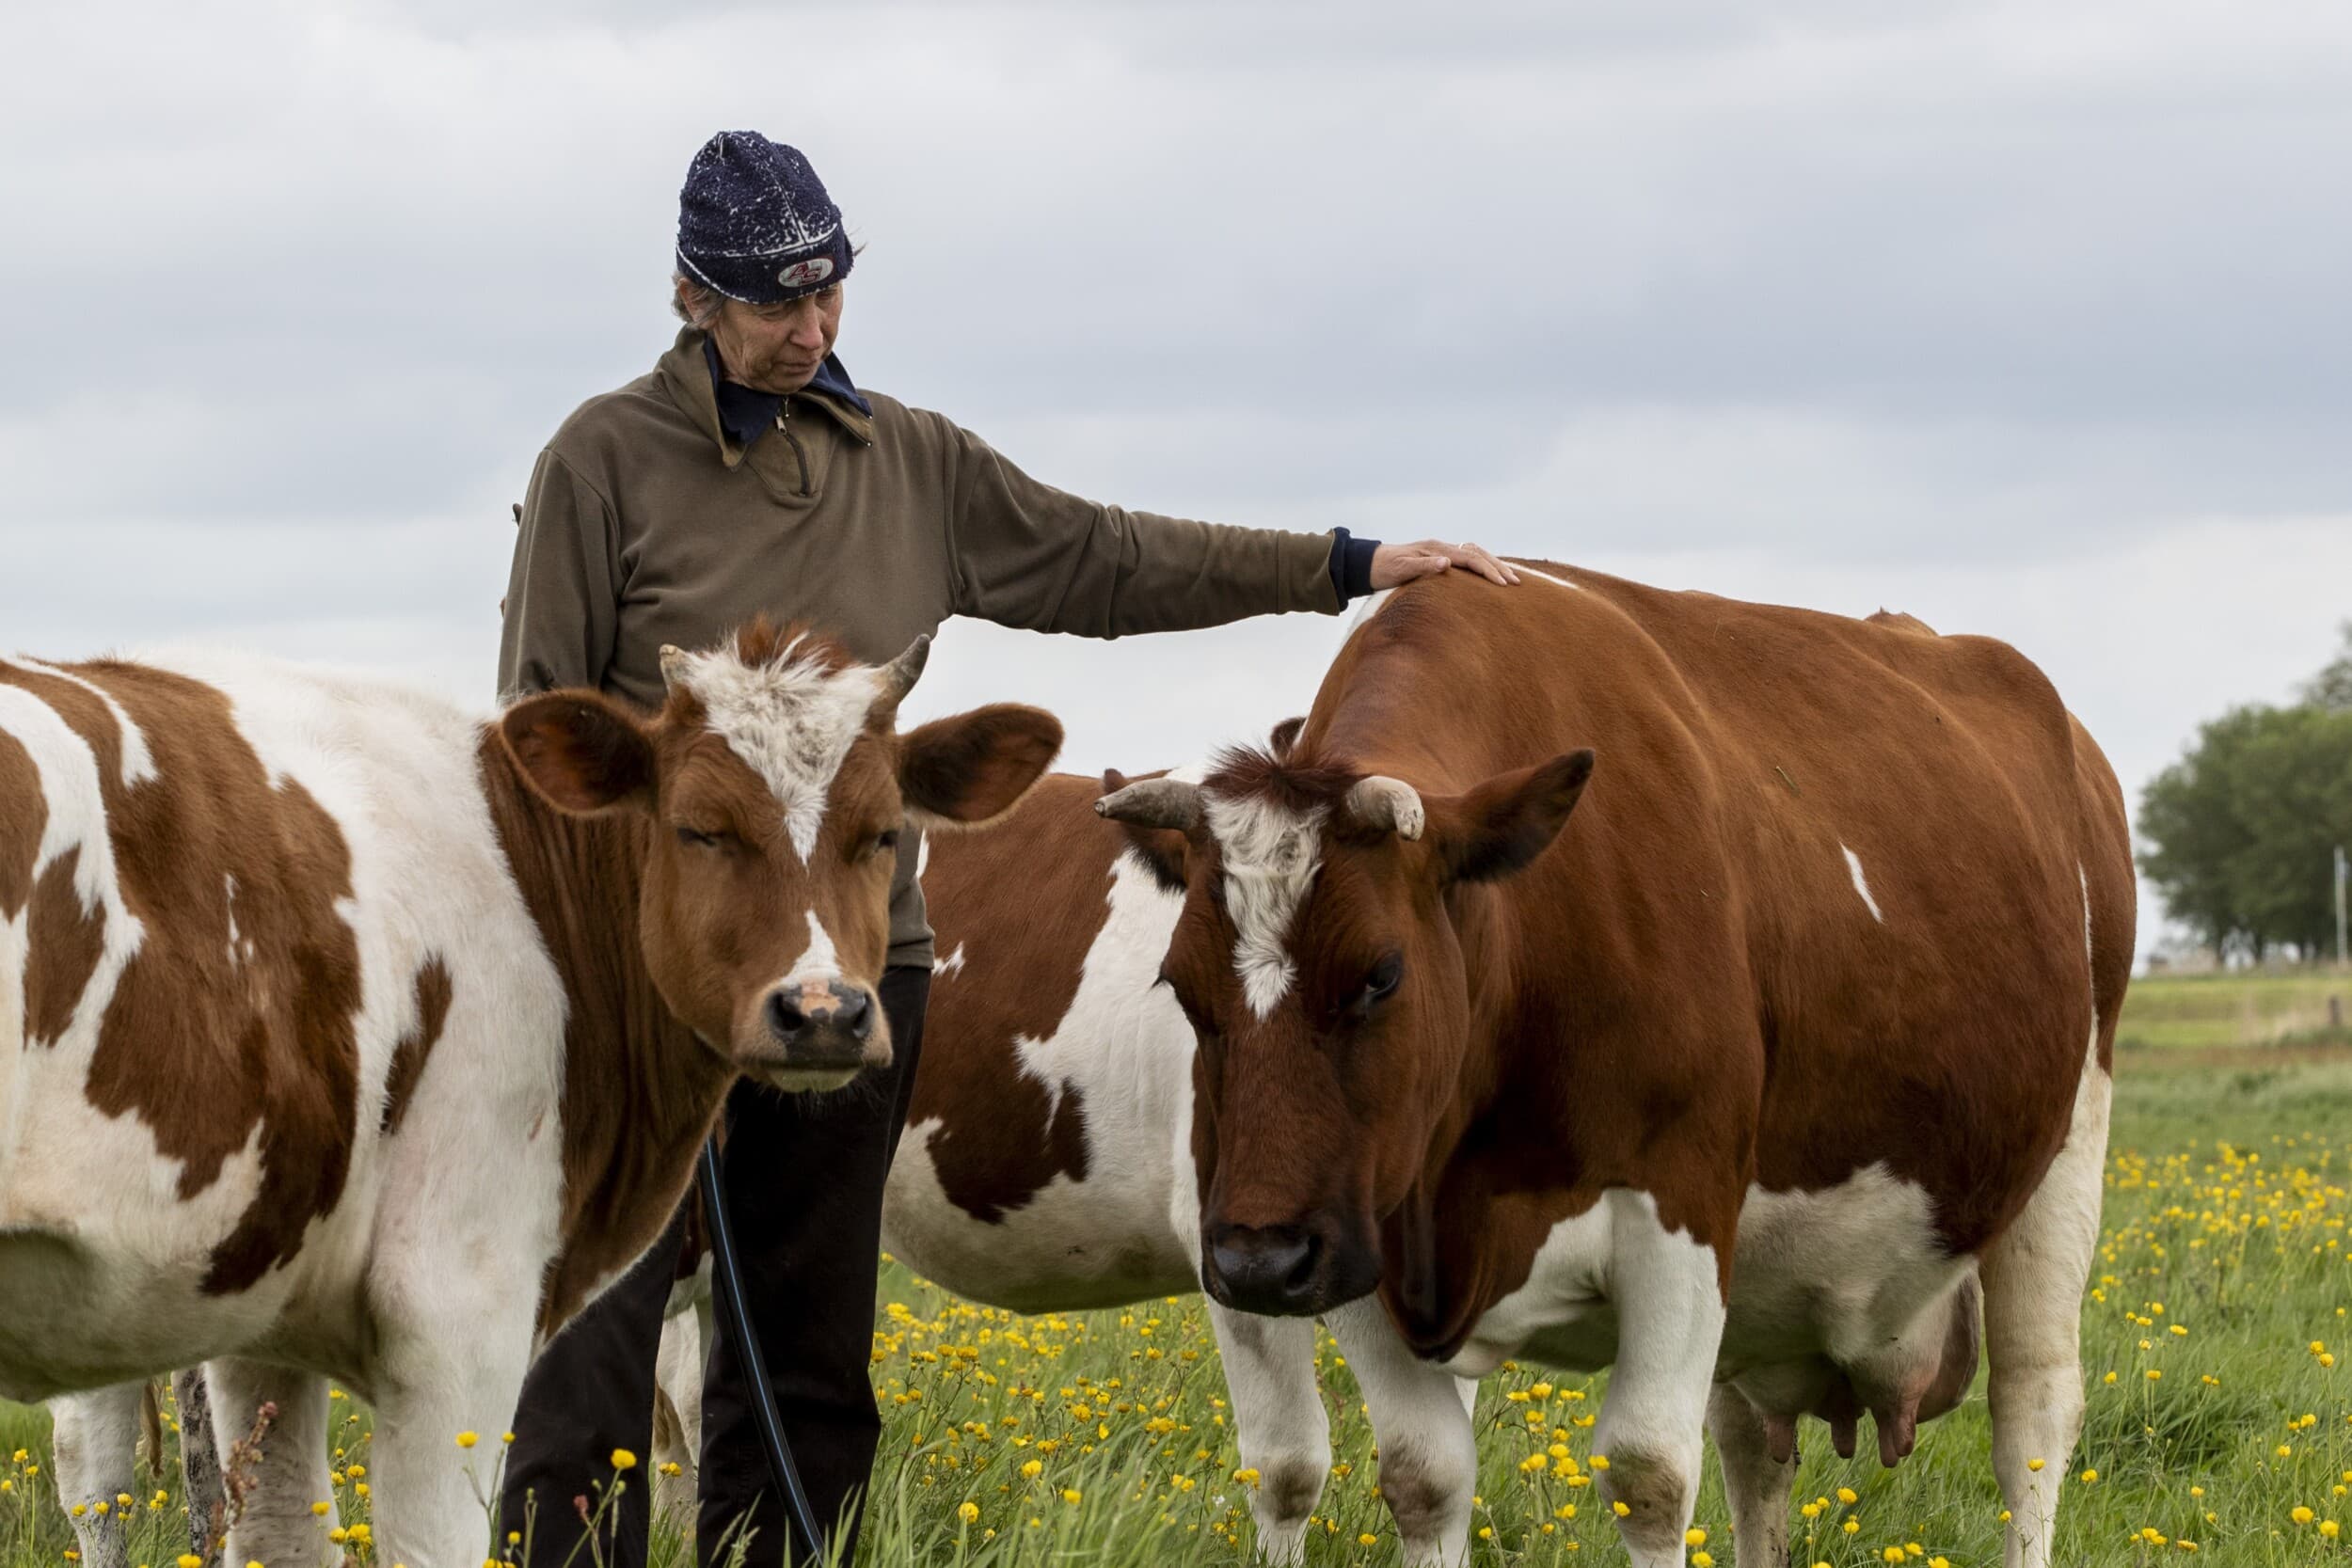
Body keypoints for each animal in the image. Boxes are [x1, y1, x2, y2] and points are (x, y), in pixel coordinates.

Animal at [2, 624, 1061, 1568]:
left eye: (883, 833)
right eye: (698, 827)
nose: (824, 1011)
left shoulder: (266, 1309)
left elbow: (277, 1534)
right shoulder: (456, 1303)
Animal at [1096, 563, 2134, 1568]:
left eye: (1380, 974)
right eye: (1181, 982)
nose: (1256, 1260)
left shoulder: (1681, 1210)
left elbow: (1649, 1476)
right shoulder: (1360, 1232)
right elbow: (1425, 1475)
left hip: (2065, 1155)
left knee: (2032, 1418)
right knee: (1753, 1447)